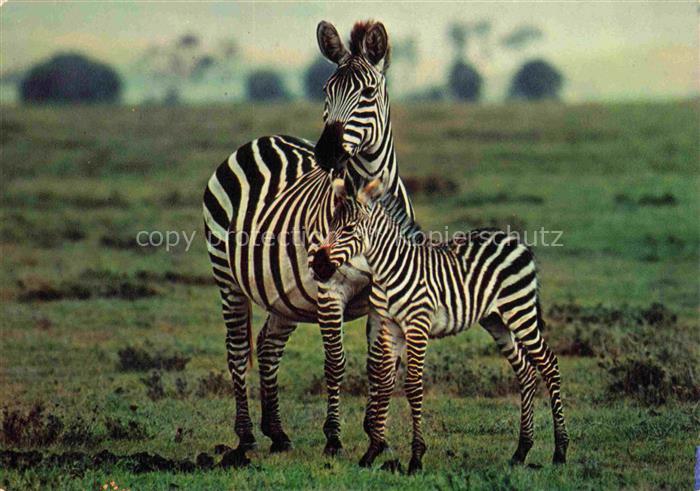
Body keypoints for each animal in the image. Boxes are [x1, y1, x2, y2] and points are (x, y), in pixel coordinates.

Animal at [202, 20, 414, 458]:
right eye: (326, 92)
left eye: (368, 93)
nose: (327, 153)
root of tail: (260, 139)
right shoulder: (329, 289)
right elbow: (335, 362)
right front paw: (333, 437)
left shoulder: (386, 292)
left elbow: (380, 364)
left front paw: (376, 437)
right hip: (227, 277)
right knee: (238, 351)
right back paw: (246, 437)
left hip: (284, 294)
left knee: (267, 345)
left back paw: (277, 433)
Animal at [311, 179, 569, 473]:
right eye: (331, 224)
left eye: (348, 229)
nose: (318, 266)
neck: (389, 270)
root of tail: (514, 239)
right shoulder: (390, 327)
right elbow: (384, 381)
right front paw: (372, 451)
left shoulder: (417, 326)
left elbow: (413, 386)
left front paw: (416, 458)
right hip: (496, 319)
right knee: (525, 371)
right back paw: (521, 451)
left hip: (520, 310)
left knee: (548, 363)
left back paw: (560, 451)